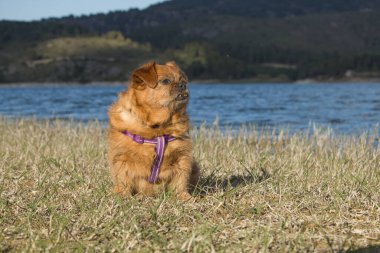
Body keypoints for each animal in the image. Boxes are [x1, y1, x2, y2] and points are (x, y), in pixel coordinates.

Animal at [107, 61, 200, 200]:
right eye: (166, 81)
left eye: (183, 81)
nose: (183, 85)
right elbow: (123, 180)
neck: (157, 129)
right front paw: (122, 196)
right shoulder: (122, 159)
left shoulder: (182, 158)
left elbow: (180, 181)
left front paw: (184, 197)